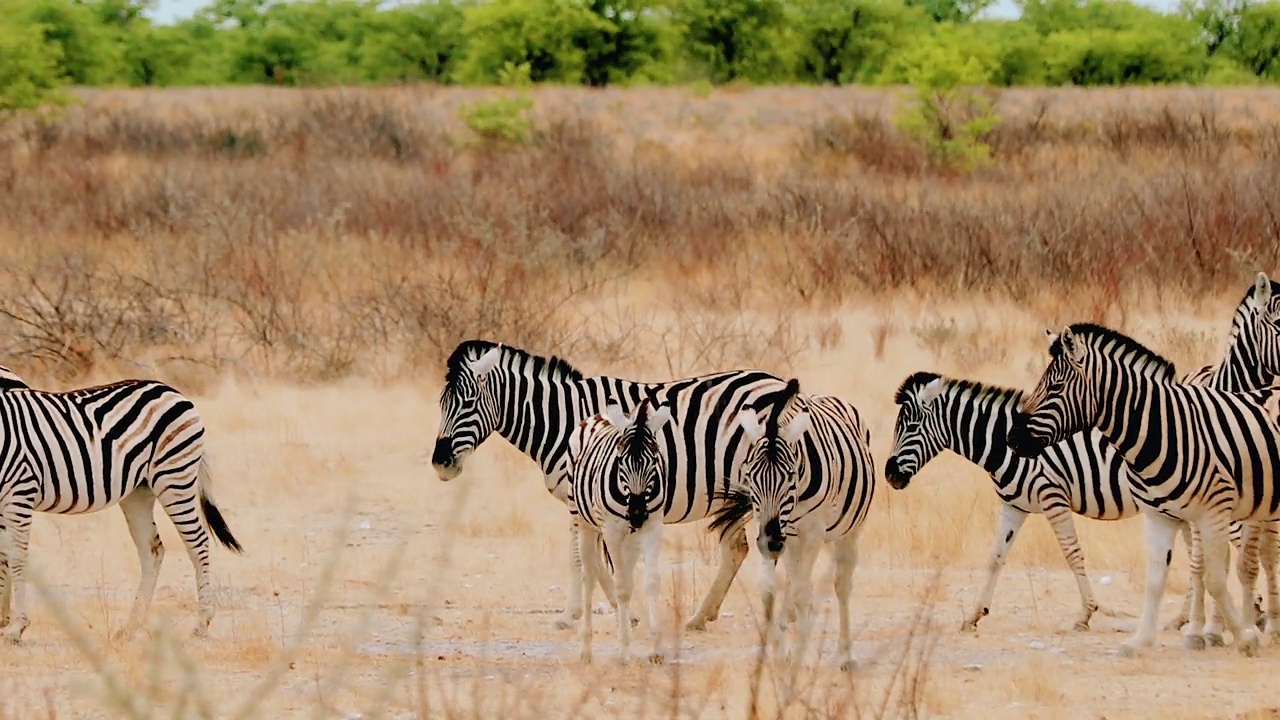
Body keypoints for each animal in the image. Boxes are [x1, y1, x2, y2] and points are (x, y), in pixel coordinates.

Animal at [0, 363, 245, 638]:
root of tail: (172, 390)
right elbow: (4, 556)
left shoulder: (21, 490)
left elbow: (16, 557)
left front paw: (16, 626)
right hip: (138, 491)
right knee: (152, 549)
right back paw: (131, 626)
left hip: (174, 476)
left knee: (198, 542)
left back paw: (202, 623)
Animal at [430, 340, 793, 627]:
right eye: (441, 404)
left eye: (468, 403)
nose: (440, 463)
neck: (562, 421)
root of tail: (778, 383)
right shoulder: (586, 501)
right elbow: (590, 557)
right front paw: (617, 608)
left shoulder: (588, 498)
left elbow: (584, 557)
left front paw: (581, 613)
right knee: (738, 549)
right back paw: (701, 617)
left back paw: (782, 615)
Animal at [568, 389, 675, 666]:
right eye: (621, 461)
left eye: (655, 460)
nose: (636, 514)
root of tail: (599, 415)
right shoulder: (612, 531)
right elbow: (623, 587)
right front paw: (625, 651)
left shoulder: (653, 527)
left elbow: (651, 581)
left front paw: (657, 649)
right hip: (583, 521)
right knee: (589, 575)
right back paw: (585, 649)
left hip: (631, 539)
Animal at [706, 379, 875, 671]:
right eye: (750, 476)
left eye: (791, 476)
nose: (773, 543)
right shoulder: (770, 529)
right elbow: (768, 590)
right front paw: (778, 652)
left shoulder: (811, 534)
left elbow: (802, 593)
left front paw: (801, 657)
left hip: (849, 532)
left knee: (841, 585)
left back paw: (845, 655)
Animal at [1008, 320, 1280, 655]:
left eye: (1055, 388)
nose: (1011, 439)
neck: (1163, 429)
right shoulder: (1159, 515)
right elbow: (1156, 578)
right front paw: (1141, 640)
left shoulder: (1214, 512)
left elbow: (1215, 578)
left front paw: (1244, 636)